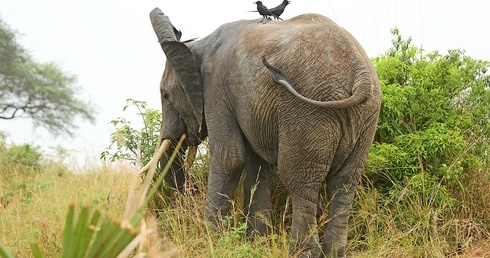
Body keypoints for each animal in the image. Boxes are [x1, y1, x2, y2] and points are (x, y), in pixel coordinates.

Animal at [149, 7, 382, 258]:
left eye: (165, 96)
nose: (190, 191)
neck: (197, 46)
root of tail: (360, 74)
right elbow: (257, 168)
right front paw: (256, 243)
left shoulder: (217, 92)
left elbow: (230, 159)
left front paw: (210, 240)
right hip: (366, 116)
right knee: (345, 183)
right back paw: (335, 252)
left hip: (308, 112)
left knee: (300, 182)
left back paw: (302, 253)